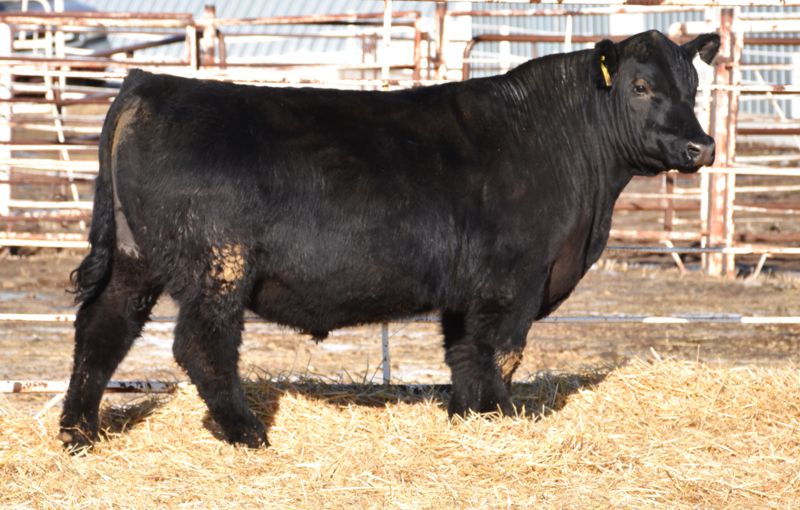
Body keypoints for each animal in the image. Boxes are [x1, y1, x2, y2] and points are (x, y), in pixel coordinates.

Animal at [59, 30, 719, 450]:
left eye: (694, 87)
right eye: (640, 87)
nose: (701, 146)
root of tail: (151, 84)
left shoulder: (468, 291)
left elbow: (464, 354)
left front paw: (468, 415)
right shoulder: (514, 279)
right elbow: (501, 352)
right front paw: (502, 418)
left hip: (134, 259)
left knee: (102, 329)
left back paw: (78, 433)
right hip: (217, 264)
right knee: (201, 344)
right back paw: (247, 433)